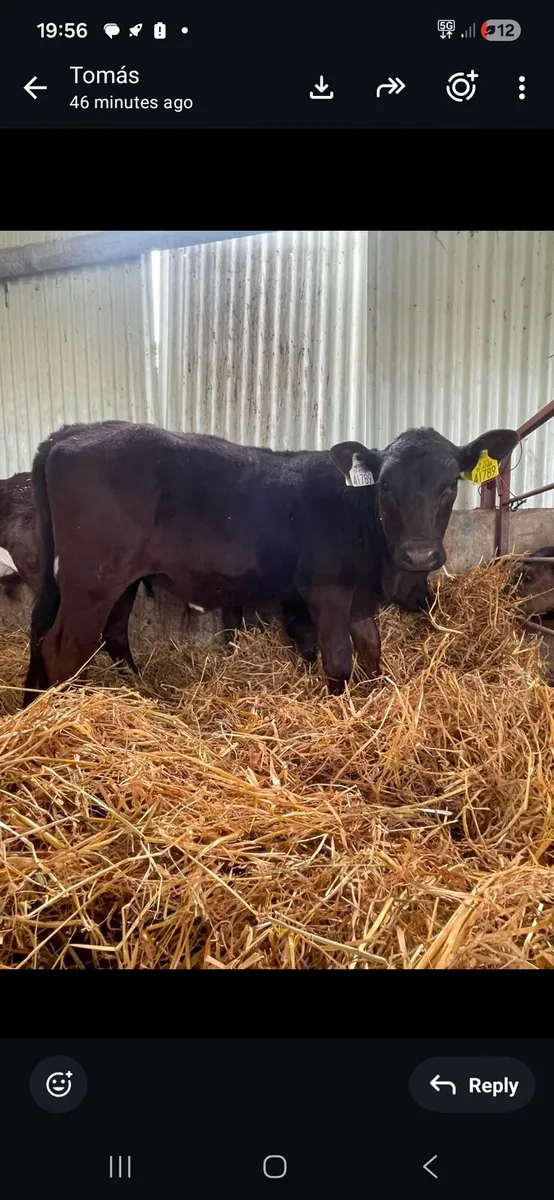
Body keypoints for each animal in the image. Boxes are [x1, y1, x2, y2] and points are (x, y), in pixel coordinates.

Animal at [21, 420, 519, 706]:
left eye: (450, 484)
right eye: (385, 486)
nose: (418, 553)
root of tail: (72, 432)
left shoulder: (358, 598)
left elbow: (372, 653)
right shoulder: (326, 589)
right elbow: (338, 660)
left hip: (116, 579)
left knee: (101, 633)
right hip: (93, 579)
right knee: (63, 647)